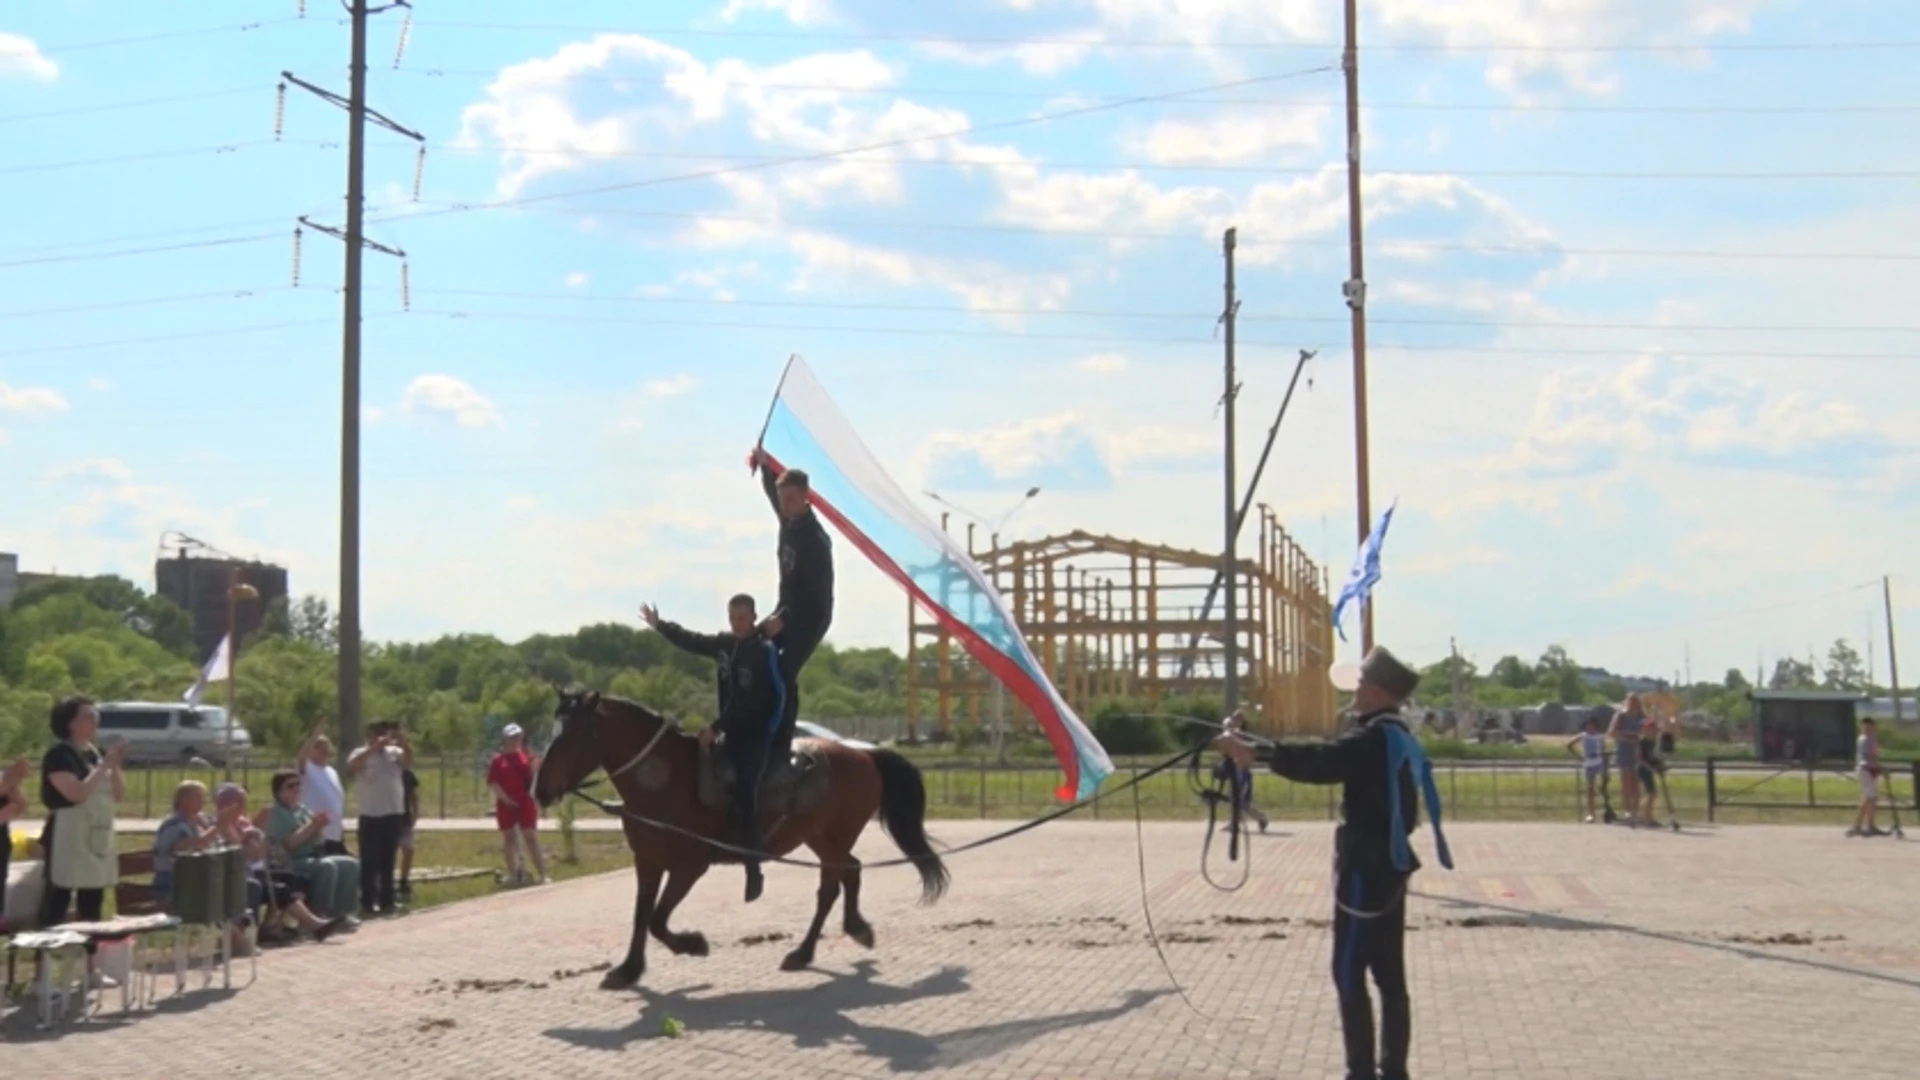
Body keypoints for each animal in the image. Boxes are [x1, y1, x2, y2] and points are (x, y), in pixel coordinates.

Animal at [529, 687, 948, 983]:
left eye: (573, 734)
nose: (539, 790)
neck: (665, 780)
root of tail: (864, 755)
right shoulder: (646, 861)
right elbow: (642, 914)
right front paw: (629, 969)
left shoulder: (690, 866)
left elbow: (658, 919)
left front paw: (693, 944)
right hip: (821, 839)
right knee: (841, 877)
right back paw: (810, 949)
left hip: (835, 836)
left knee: (843, 876)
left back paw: (845, 934)